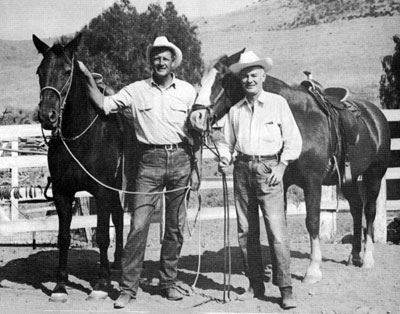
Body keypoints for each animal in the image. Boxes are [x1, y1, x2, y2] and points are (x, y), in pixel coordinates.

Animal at [32, 32, 138, 302]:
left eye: (67, 71)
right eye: (40, 71)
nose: (47, 116)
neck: (78, 137)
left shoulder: (101, 191)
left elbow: (101, 235)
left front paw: (101, 284)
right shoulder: (62, 192)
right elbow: (64, 237)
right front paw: (60, 286)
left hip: (118, 185)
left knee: (119, 217)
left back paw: (117, 265)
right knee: (118, 214)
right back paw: (116, 263)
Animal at [191, 50, 390, 284]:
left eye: (222, 78)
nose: (195, 117)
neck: (298, 120)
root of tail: (375, 115)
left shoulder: (313, 183)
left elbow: (312, 221)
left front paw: (313, 270)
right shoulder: (282, 183)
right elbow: (278, 223)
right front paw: (279, 271)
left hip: (374, 175)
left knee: (370, 210)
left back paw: (367, 259)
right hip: (349, 178)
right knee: (357, 208)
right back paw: (355, 255)